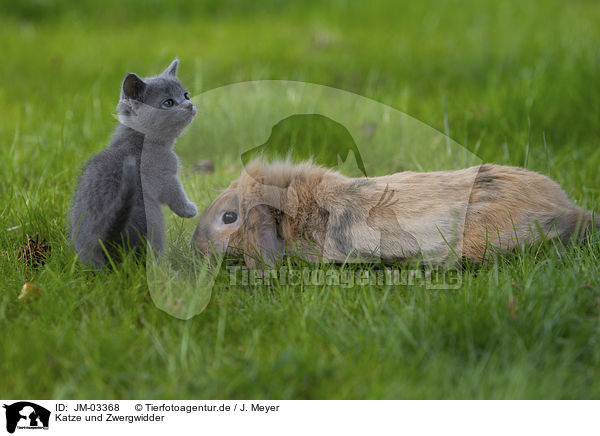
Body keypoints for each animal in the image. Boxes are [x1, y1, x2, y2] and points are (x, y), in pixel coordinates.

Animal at [70, 58, 197, 270]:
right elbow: (175, 193)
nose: (189, 104)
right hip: (153, 220)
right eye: (168, 102)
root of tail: (105, 241)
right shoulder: (165, 174)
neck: (138, 140)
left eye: (185, 95)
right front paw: (189, 209)